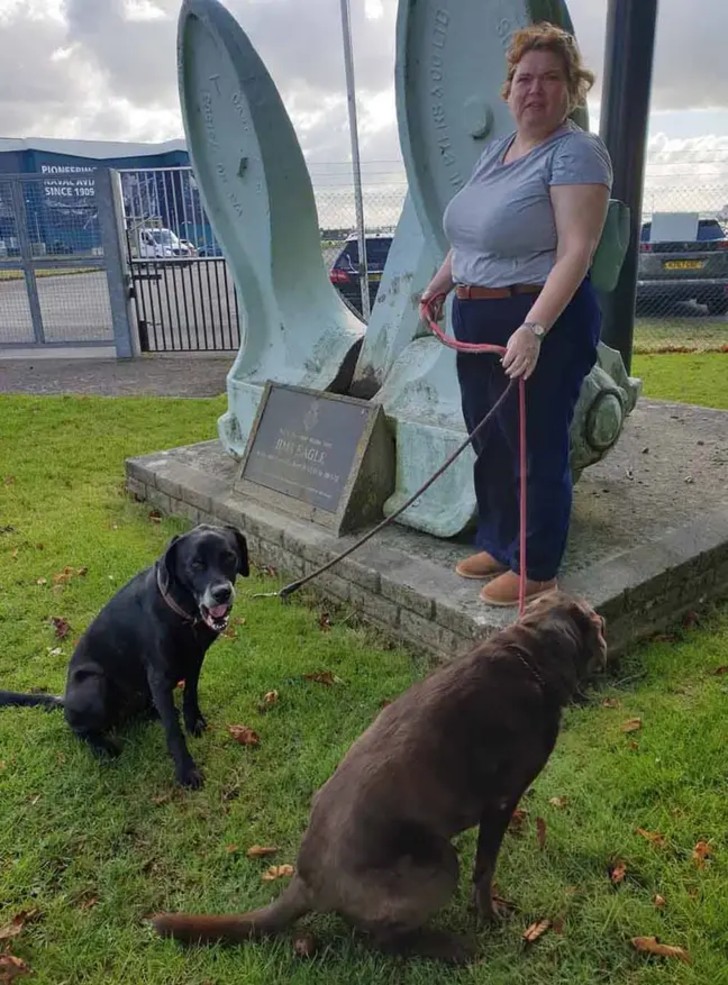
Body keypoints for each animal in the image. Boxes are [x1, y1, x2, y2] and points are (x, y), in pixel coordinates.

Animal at [0, 524, 249, 784]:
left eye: (229, 557)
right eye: (196, 564)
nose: (222, 593)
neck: (182, 611)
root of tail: (65, 699)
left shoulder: (195, 660)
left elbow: (190, 695)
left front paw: (194, 723)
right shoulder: (159, 677)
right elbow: (173, 731)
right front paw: (186, 771)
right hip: (93, 685)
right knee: (79, 728)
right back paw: (103, 745)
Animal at [152, 592, 608, 960]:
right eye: (598, 624)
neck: (528, 653)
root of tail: (306, 880)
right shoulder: (501, 801)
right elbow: (485, 869)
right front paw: (489, 916)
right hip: (440, 861)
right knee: (384, 939)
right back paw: (449, 947)